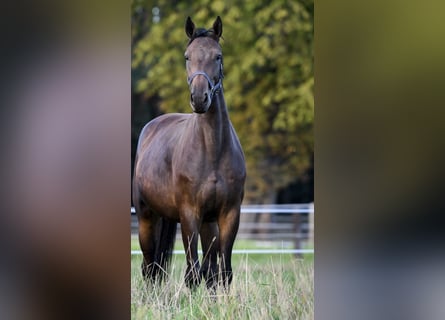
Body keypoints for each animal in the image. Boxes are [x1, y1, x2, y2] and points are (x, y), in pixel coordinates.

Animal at [131, 15, 246, 290]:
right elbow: (192, 272)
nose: (199, 98)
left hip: (207, 223)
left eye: (218, 56)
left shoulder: (229, 214)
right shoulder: (189, 214)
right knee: (149, 267)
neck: (212, 150)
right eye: (187, 56)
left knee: (207, 269)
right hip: (147, 218)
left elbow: (222, 272)